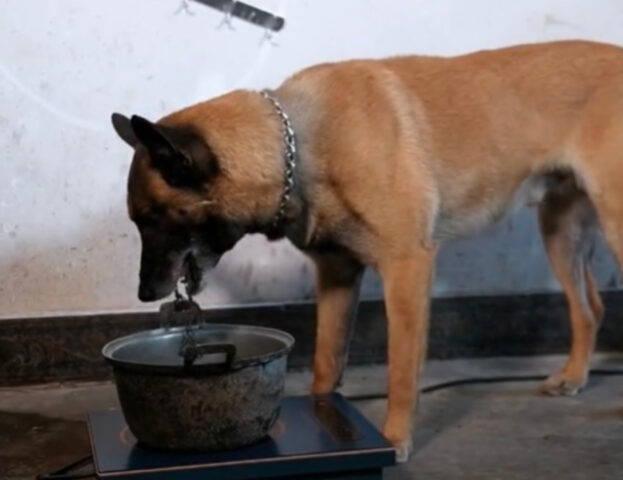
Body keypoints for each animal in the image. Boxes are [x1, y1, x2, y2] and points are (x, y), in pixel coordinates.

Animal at [112, 40, 623, 462]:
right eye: (139, 221)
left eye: (151, 218)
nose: (142, 294)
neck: (298, 144)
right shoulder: (338, 276)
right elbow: (326, 363)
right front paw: (325, 417)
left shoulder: (407, 269)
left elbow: (401, 371)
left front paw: (395, 438)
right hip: (561, 232)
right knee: (590, 309)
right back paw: (574, 376)